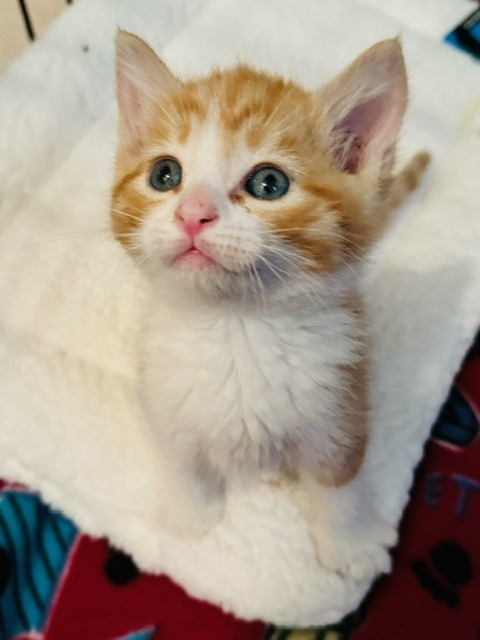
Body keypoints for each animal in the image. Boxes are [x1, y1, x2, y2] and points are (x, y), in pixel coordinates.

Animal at [110, 31, 430, 580]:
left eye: (269, 184)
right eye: (165, 174)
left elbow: (340, 477)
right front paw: (191, 513)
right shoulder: (162, 390)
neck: (235, 326)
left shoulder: (341, 400)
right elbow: (179, 457)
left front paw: (347, 541)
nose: (193, 213)